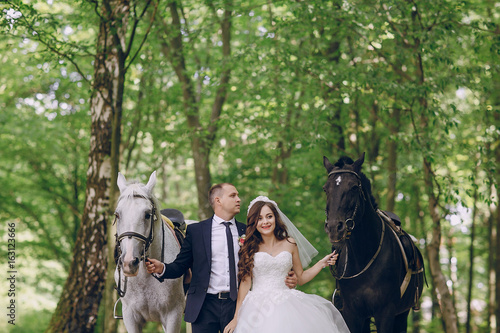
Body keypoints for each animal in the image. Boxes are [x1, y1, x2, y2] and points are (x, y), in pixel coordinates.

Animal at [322, 153, 424, 332]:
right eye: (325, 189)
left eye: (354, 187)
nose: (334, 227)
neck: (363, 256)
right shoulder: (352, 313)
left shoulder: (385, 312)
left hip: (402, 314)